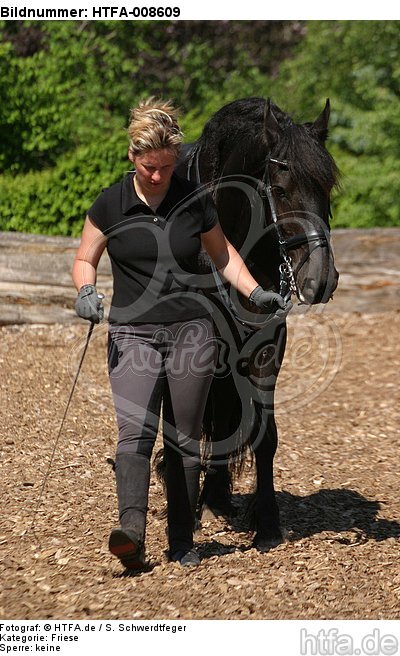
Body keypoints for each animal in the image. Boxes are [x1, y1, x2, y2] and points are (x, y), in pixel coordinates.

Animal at [173, 96, 340, 548]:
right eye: (280, 190)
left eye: (327, 188)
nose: (321, 279)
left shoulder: (267, 343)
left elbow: (265, 434)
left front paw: (266, 523)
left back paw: (216, 497)